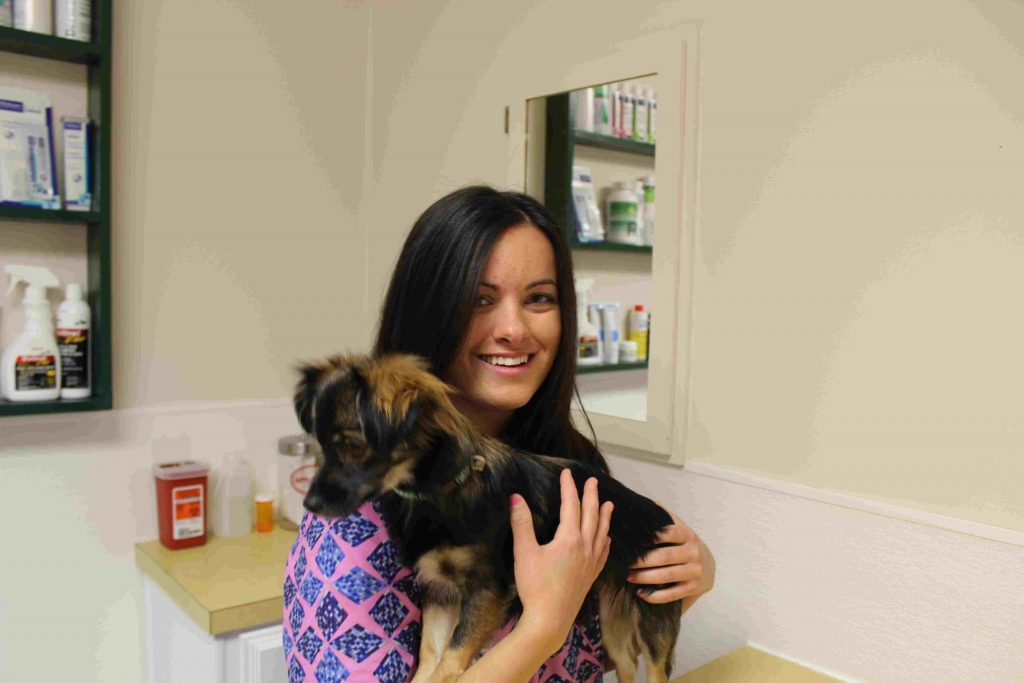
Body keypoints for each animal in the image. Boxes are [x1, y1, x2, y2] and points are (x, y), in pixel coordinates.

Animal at [292, 352, 684, 683]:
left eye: (353, 446)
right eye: (320, 446)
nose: (309, 504)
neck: (436, 492)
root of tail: (660, 517)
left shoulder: (486, 590)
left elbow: (450, 660)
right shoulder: (440, 591)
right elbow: (431, 655)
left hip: (654, 622)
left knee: (656, 670)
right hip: (615, 622)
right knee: (627, 664)